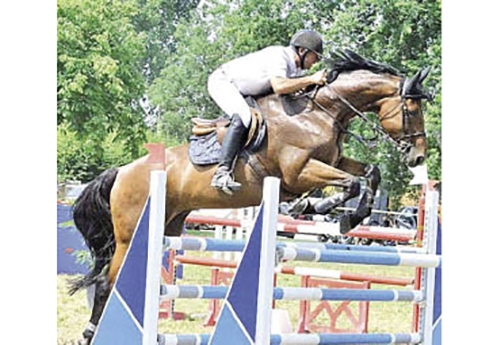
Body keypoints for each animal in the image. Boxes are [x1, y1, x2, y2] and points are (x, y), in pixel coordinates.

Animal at [69, 49, 430, 342]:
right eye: (411, 109)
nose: (418, 158)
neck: (319, 113)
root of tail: (122, 171)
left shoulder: (331, 162)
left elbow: (370, 173)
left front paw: (336, 211)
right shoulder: (299, 170)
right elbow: (350, 184)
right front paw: (334, 212)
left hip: (169, 226)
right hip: (129, 236)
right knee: (106, 283)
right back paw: (91, 333)